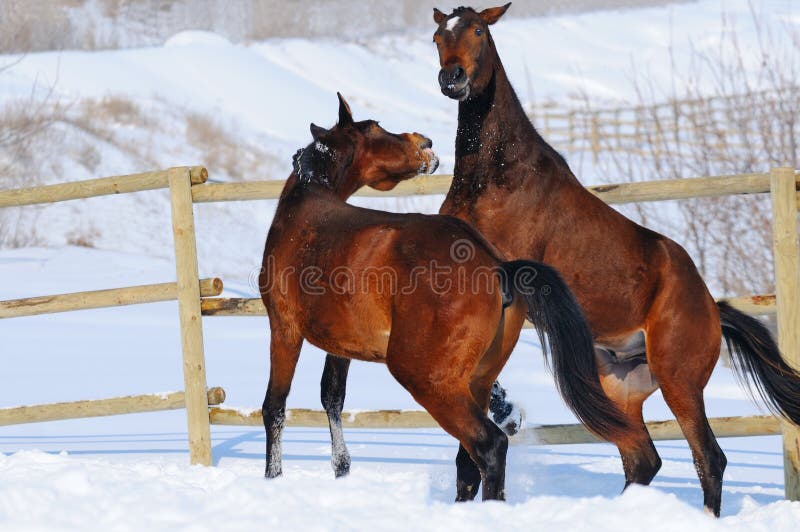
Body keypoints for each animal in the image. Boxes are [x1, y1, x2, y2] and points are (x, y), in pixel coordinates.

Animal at [260, 93, 628, 500]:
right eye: (377, 128)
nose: (425, 143)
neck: (304, 212)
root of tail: (498, 267)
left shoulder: (284, 328)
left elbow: (275, 407)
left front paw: (272, 477)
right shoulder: (340, 344)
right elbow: (332, 399)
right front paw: (341, 469)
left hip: (425, 378)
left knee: (488, 445)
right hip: (477, 380)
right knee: (467, 460)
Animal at [428, 2, 800, 516]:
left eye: (480, 30)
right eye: (437, 37)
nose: (453, 78)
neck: (497, 179)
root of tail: (711, 307)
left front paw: (506, 413)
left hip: (680, 379)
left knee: (709, 458)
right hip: (619, 386)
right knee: (642, 458)